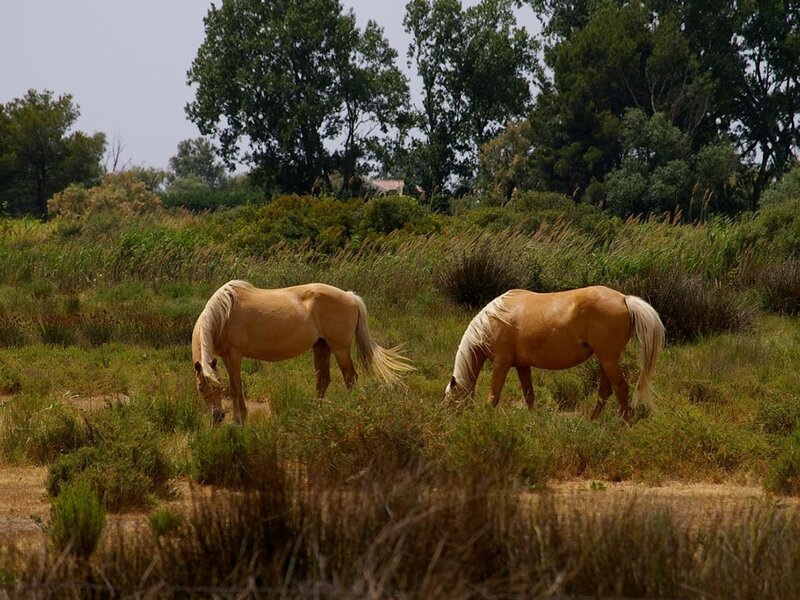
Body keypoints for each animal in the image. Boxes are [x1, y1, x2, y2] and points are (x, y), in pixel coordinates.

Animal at [192, 280, 413, 424]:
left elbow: (236, 387)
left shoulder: (235, 355)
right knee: (323, 380)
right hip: (322, 347)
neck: (224, 315)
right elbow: (236, 385)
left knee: (350, 377)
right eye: (202, 389)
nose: (218, 417)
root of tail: (351, 296)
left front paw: (238, 420)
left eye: (216, 389)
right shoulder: (225, 357)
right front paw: (243, 417)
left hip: (340, 348)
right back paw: (318, 413)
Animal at [444, 286, 665, 420]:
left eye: (451, 402)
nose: (447, 423)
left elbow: (493, 397)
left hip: (608, 359)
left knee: (621, 388)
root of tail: (624, 299)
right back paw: (593, 422)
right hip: (605, 360)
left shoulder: (501, 363)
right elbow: (529, 396)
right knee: (605, 392)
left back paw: (623, 423)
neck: (493, 320)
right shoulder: (522, 366)